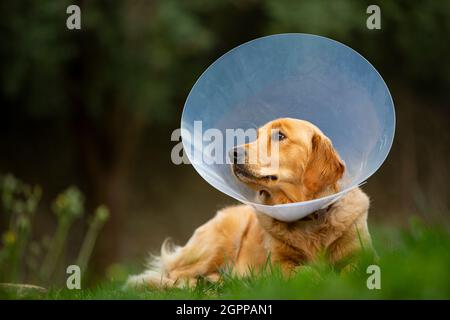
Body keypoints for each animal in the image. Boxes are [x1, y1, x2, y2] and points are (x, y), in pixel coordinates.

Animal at [127, 119, 372, 288]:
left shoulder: (363, 255)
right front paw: (318, 276)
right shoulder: (278, 265)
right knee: (174, 275)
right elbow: (303, 271)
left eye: (280, 135)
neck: (307, 216)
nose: (232, 153)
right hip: (218, 241)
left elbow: (356, 269)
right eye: (257, 135)